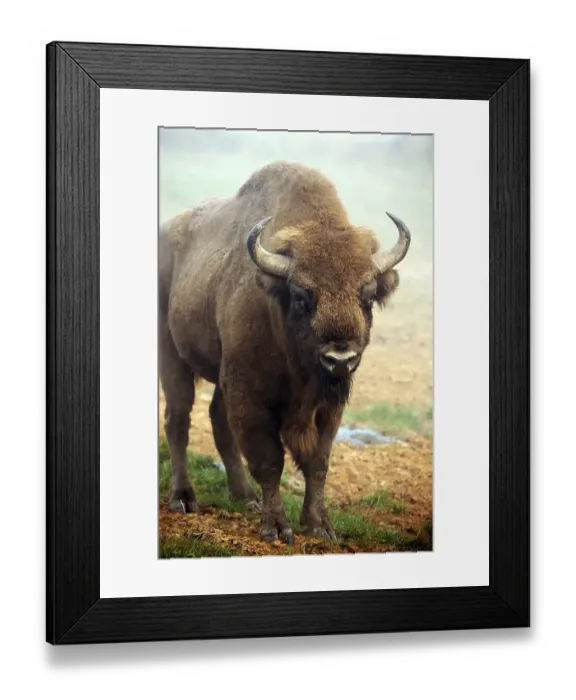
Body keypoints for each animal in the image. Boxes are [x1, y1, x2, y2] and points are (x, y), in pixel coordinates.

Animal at [159, 160, 411, 543]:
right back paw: (184, 499)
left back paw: (245, 497)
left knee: (217, 420)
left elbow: (318, 462)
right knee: (178, 421)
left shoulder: (328, 406)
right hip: (171, 355)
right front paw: (277, 527)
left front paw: (321, 525)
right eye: (302, 297)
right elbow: (269, 460)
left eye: (368, 296)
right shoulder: (249, 393)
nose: (340, 360)